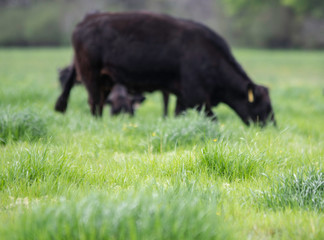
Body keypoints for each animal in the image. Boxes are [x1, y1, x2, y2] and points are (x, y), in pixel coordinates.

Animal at [57, 11, 274, 125]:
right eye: (264, 105)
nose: (272, 126)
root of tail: (88, 18)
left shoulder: (183, 97)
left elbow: (177, 115)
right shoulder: (197, 97)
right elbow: (213, 118)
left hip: (105, 79)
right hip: (90, 75)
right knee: (95, 103)